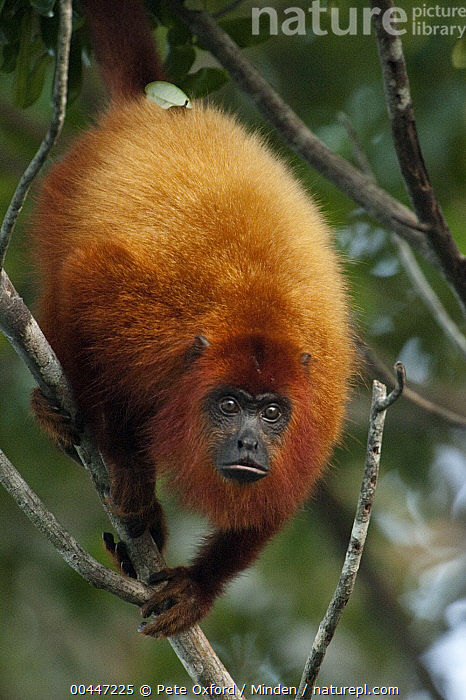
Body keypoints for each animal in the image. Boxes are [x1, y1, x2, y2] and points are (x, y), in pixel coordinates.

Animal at [31, 0, 354, 638]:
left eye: (272, 413)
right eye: (228, 405)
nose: (249, 442)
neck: (256, 318)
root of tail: (158, 111)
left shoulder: (323, 389)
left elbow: (278, 500)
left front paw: (199, 587)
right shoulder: (148, 318)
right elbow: (86, 277)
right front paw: (129, 466)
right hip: (63, 190)